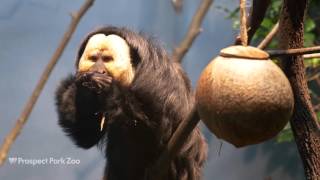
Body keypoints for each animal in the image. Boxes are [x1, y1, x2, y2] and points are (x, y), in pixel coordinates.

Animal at [55, 26, 208, 179]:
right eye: (93, 59)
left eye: (107, 59)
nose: (98, 70)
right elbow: (86, 135)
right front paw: (83, 87)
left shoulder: (156, 81)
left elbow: (161, 134)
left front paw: (109, 90)